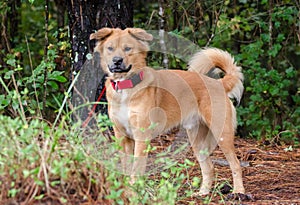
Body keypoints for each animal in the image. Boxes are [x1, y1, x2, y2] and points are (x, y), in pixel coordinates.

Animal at [90, 27, 245, 195]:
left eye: (127, 48)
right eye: (110, 48)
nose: (116, 61)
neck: (126, 86)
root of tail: (219, 83)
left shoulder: (141, 135)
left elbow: (136, 167)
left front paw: (134, 190)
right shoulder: (121, 136)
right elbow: (126, 166)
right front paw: (126, 190)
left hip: (221, 133)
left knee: (235, 164)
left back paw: (239, 191)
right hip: (196, 139)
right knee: (208, 167)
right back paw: (203, 192)